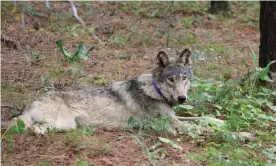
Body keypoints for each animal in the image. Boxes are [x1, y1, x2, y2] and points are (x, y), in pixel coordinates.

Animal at [14, 48, 253, 140]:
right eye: (171, 80)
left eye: (184, 78)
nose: (182, 98)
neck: (155, 91)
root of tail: (30, 103)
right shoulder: (175, 126)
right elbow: (205, 129)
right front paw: (243, 134)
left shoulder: (175, 117)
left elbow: (205, 118)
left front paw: (223, 122)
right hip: (65, 123)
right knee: (27, 126)